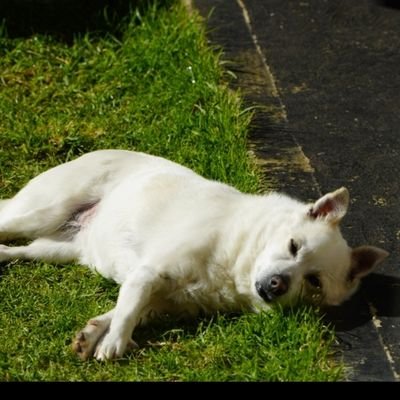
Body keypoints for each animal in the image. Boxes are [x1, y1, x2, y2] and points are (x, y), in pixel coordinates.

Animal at [0, 149, 388, 360]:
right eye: (293, 246)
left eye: (314, 282)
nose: (277, 285)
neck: (234, 265)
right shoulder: (147, 273)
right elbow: (127, 311)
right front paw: (115, 344)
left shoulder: (157, 297)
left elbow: (124, 310)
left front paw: (96, 334)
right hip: (38, 213)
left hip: (56, 249)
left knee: (20, 250)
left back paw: (4, 255)